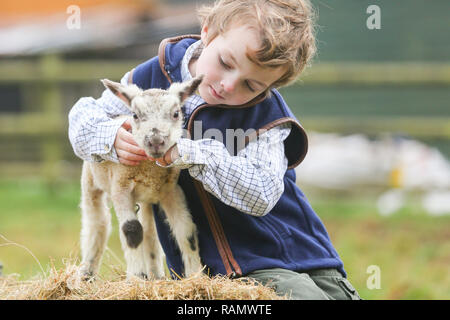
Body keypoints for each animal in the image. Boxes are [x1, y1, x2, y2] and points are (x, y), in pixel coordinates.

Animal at [78, 75, 203, 280]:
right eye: (135, 116)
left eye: (176, 113)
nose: (155, 141)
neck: (150, 170)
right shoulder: (120, 188)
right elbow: (132, 231)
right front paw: (136, 278)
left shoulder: (170, 190)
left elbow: (186, 231)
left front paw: (196, 277)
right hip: (90, 181)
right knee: (97, 223)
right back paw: (86, 274)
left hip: (146, 200)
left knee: (150, 233)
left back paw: (155, 275)